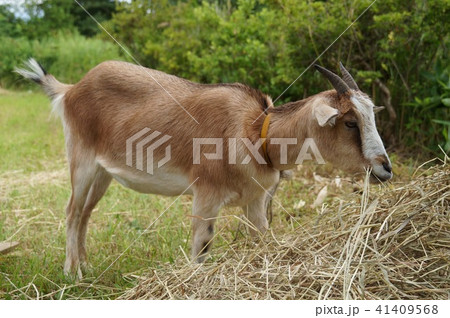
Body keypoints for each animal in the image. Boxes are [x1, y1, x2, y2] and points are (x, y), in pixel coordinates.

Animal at [15, 59, 392, 278]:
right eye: (349, 122)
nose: (385, 169)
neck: (256, 133)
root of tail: (71, 89)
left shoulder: (255, 201)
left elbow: (263, 239)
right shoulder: (206, 196)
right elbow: (201, 248)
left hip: (104, 174)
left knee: (85, 214)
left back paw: (87, 266)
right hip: (81, 161)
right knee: (71, 211)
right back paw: (71, 274)